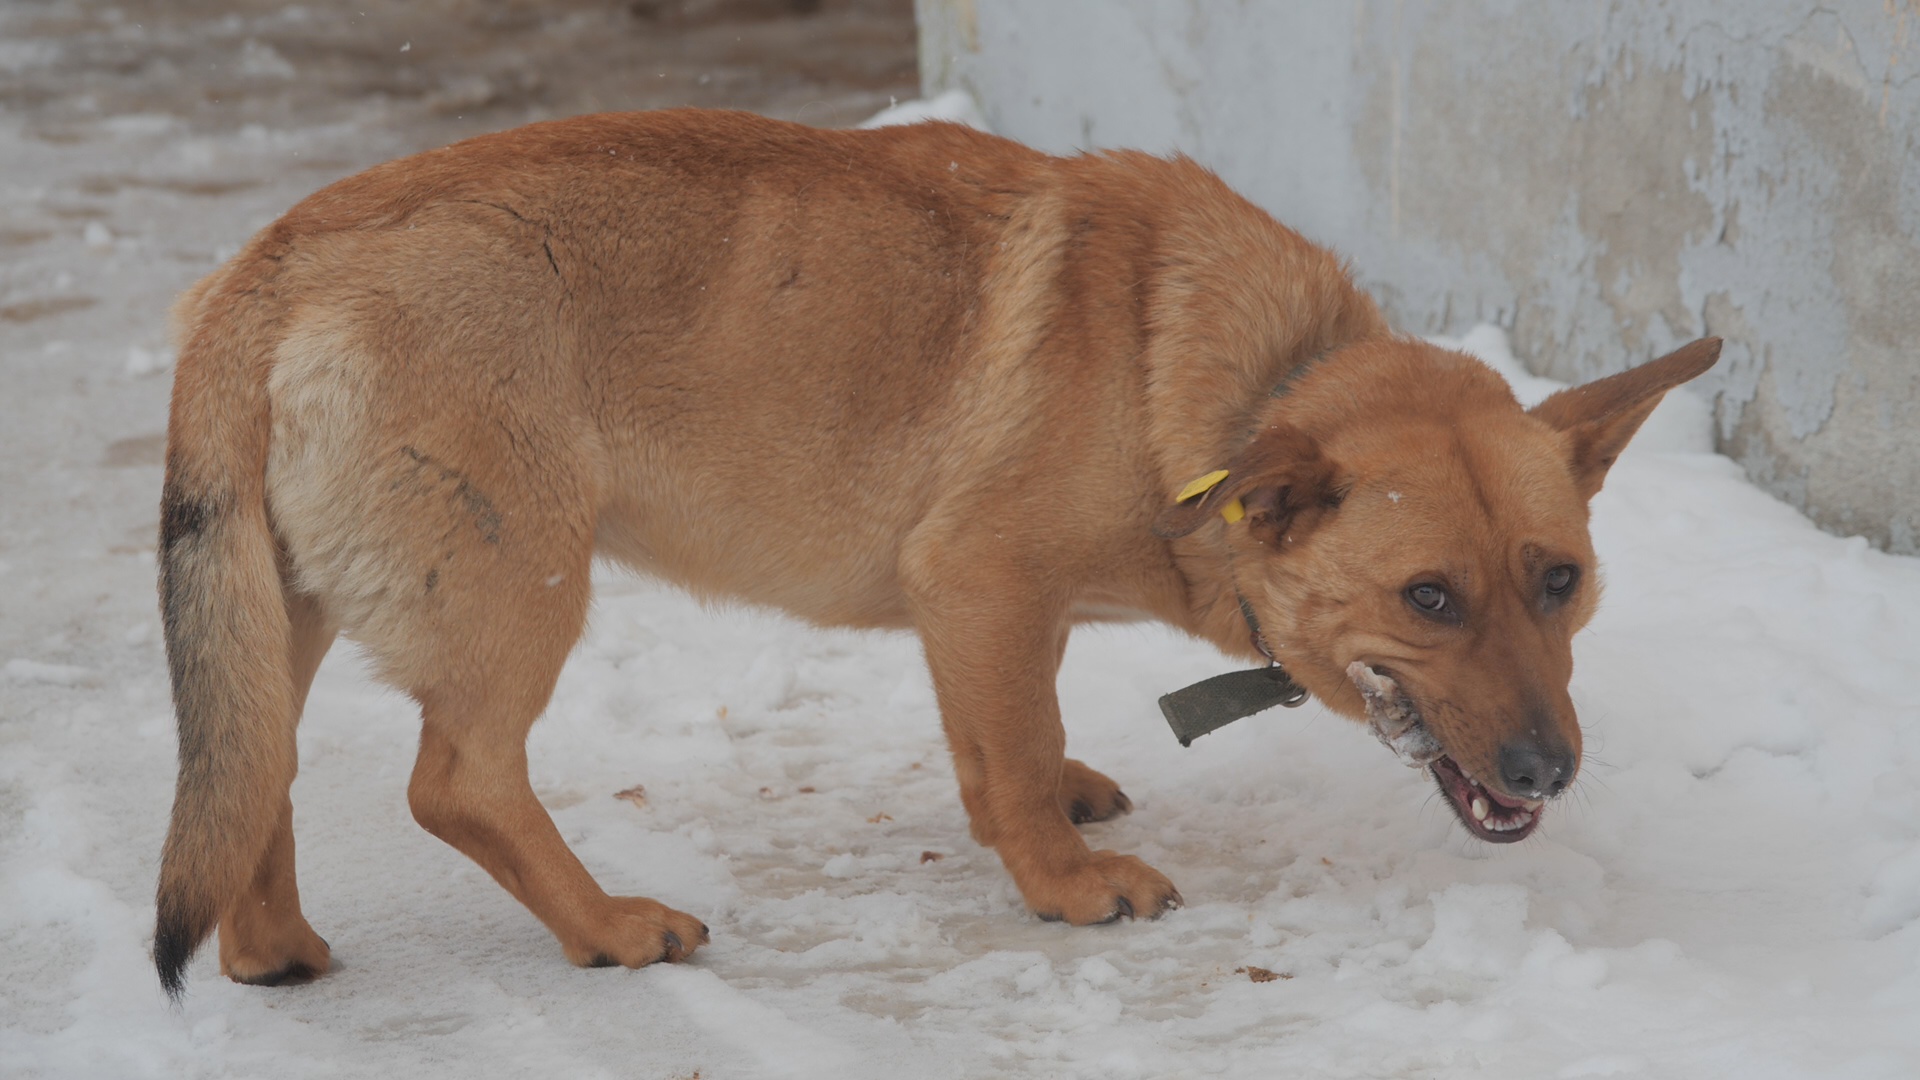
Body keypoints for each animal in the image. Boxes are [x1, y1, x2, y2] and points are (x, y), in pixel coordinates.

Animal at [145, 109, 1712, 991]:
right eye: (1428, 598)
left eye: (1560, 583)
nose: (1548, 774)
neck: (1237, 384)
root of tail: (272, 258)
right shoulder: (978, 582)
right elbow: (1008, 756)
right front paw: (1066, 886)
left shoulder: (996, 618)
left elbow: (1012, 733)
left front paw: (1057, 809)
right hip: (518, 589)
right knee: (458, 783)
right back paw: (606, 925)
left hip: (280, 615)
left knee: (255, 771)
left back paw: (271, 948)